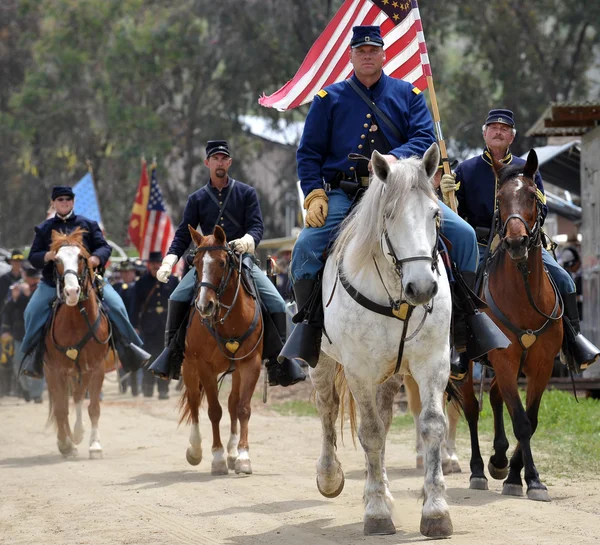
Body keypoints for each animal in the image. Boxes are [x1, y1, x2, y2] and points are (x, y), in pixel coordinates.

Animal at [45, 227, 113, 456]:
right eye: (56, 260)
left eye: (81, 257)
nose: (72, 292)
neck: (77, 322)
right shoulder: (57, 370)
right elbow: (60, 408)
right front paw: (66, 442)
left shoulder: (96, 368)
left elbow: (93, 407)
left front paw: (94, 444)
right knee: (62, 404)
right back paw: (67, 441)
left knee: (76, 397)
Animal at [178, 224, 262, 472]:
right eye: (195, 263)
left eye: (223, 263)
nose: (204, 305)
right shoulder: (204, 367)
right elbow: (214, 411)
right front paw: (216, 457)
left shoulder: (250, 363)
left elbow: (242, 408)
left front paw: (242, 456)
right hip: (189, 366)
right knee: (194, 402)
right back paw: (195, 450)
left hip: (235, 371)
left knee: (233, 403)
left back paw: (232, 452)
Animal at [312, 143, 452, 536]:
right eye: (388, 215)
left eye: (435, 214)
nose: (423, 287)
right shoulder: (359, 371)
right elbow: (371, 432)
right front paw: (376, 511)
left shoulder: (433, 362)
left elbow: (432, 425)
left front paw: (436, 509)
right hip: (322, 362)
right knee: (328, 408)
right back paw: (329, 476)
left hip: (391, 374)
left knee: (386, 419)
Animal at [460, 150, 564, 502]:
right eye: (500, 200)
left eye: (532, 195)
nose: (517, 241)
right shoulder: (505, 360)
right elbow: (520, 421)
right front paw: (530, 479)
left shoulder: (541, 365)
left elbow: (530, 419)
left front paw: (517, 474)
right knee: (472, 408)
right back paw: (479, 469)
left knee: (494, 398)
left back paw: (499, 459)